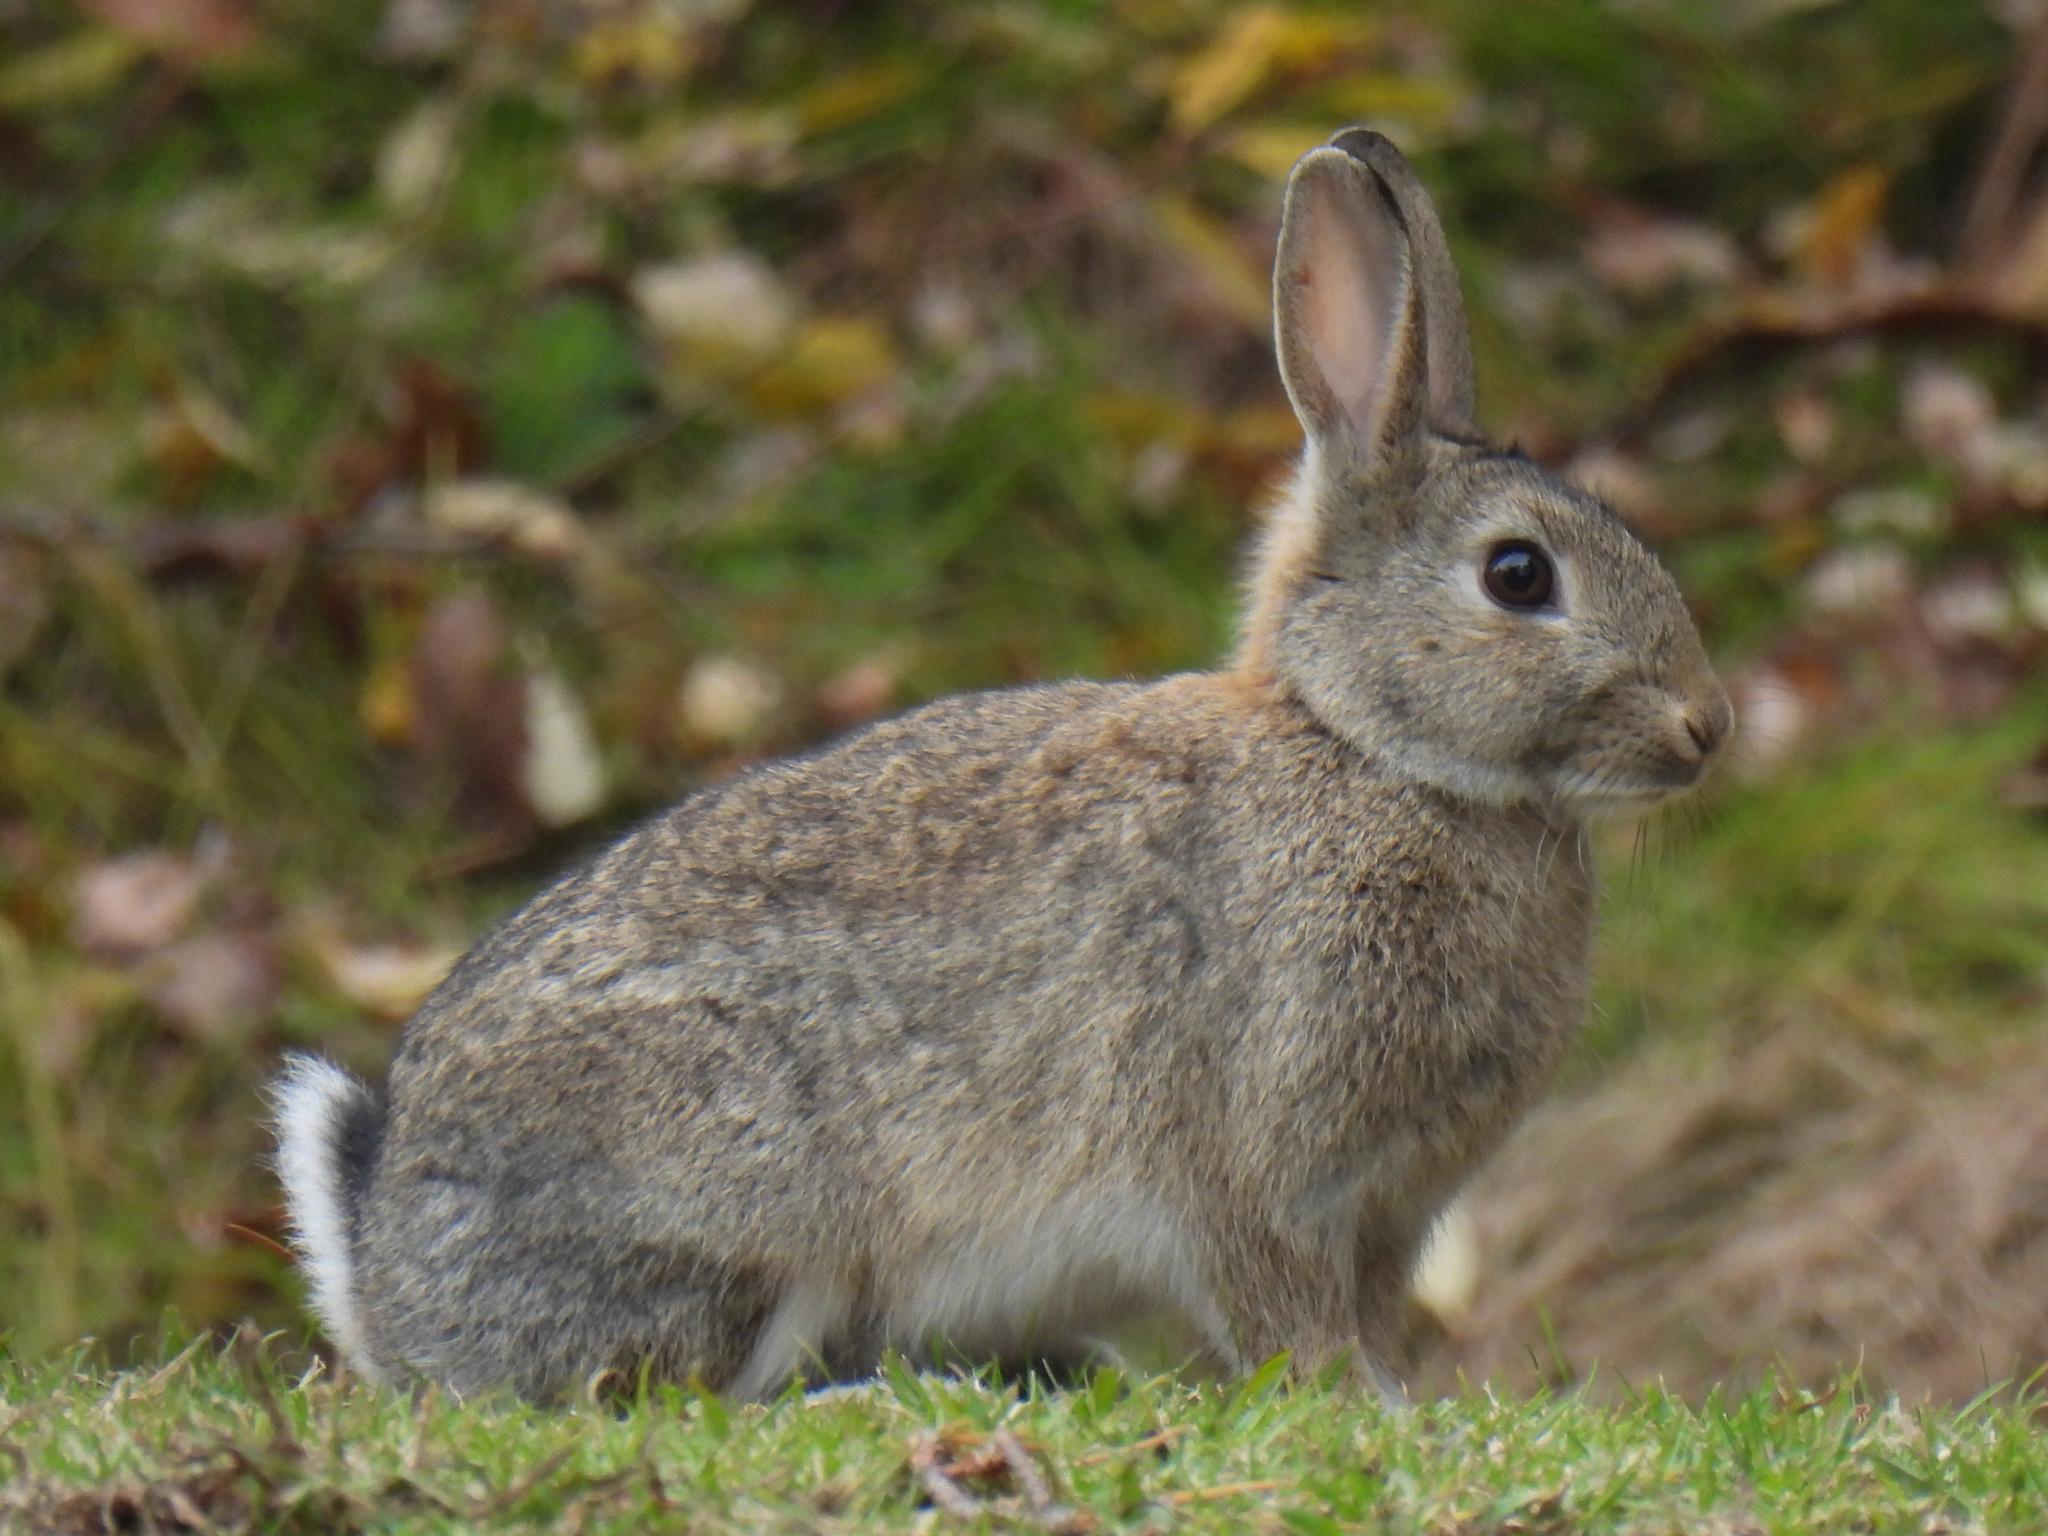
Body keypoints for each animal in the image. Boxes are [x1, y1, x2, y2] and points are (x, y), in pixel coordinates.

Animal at [271, 128, 1731, 1402]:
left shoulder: (1386, 1209)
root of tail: (386, 1277)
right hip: (735, 1186)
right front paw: (1369, 1409)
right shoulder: (1262, 1156)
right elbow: (1287, 1313)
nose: (1706, 727)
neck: (1369, 750)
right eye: (1518, 576)